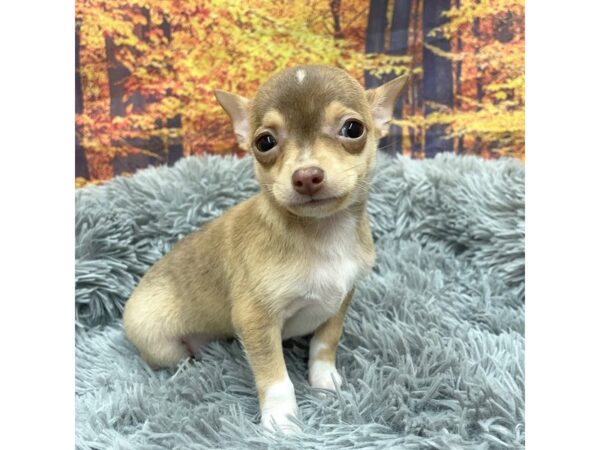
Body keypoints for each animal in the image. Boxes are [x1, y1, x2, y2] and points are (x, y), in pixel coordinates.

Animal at [123, 64, 408, 432]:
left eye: (353, 129)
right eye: (265, 142)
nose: (307, 175)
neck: (322, 234)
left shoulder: (341, 301)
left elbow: (325, 342)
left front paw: (324, 379)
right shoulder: (256, 321)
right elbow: (275, 377)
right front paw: (282, 421)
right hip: (161, 345)